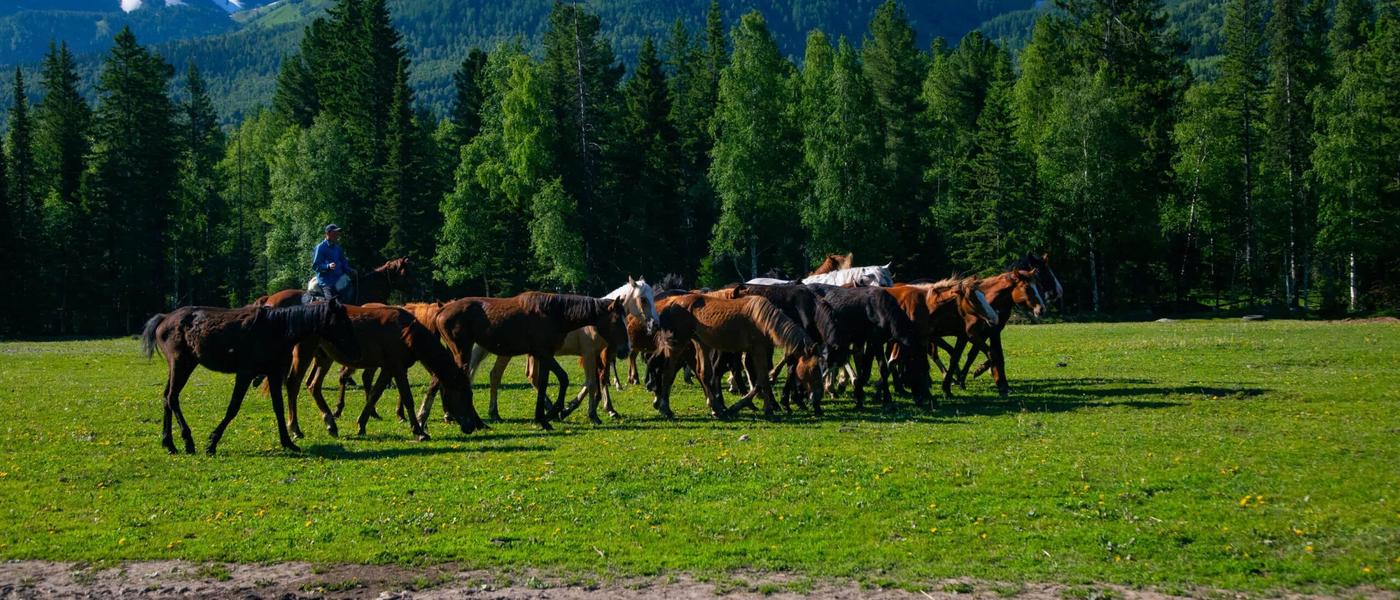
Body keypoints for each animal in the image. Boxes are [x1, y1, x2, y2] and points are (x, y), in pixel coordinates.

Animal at [139, 300, 359, 455]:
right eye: (342, 320)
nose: (354, 348)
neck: (277, 329)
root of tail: (164, 318)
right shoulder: (245, 374)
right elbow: (233, 408)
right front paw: (212, 442)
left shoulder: (273, 374)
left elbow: (278, 408)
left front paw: (288, 442)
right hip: (180, 364)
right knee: (172, 398)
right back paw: (187, 441)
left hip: (181, 366)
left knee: (166, 397)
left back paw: (169, 443)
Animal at [434, 292, 630, 431]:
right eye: (616, 320)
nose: (625, 350)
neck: (553, 313)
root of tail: (442, 310)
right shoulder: (545, 353)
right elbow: (564, 378)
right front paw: (554, 412)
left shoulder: (543, 356)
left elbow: (543, 383)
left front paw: (542, 418)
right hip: (463, 352)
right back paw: (475, 420)